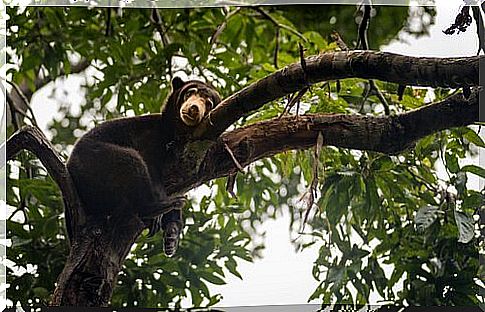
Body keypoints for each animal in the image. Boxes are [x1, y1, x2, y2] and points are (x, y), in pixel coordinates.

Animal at [66, 78, 221, 256]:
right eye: (189, 93)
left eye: (209, 103)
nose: (194, 108)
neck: (175, 132)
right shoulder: (150, 137)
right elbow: (151, 168)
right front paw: (162, 214)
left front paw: (172, 234)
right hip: (93, 159)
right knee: (131, 161)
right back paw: (159, 206)